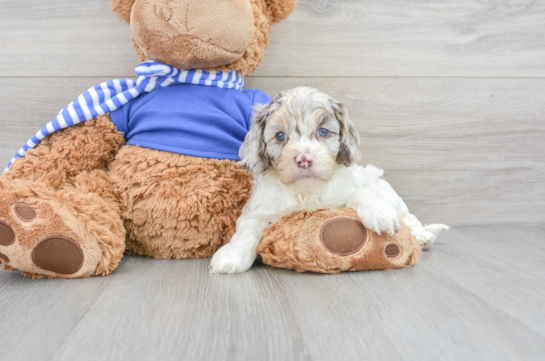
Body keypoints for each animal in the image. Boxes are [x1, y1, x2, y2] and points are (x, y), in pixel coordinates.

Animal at [208, 86, 446, 272]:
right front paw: (231, 255)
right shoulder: (260, 207)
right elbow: (246, 229)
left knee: (409, 216)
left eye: (323, 132)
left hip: (383, 186)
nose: (304, 159)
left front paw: (380, 213)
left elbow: (360, 193)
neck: (307, 191)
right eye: (280, 136)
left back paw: (422, 236)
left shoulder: (349, 186)